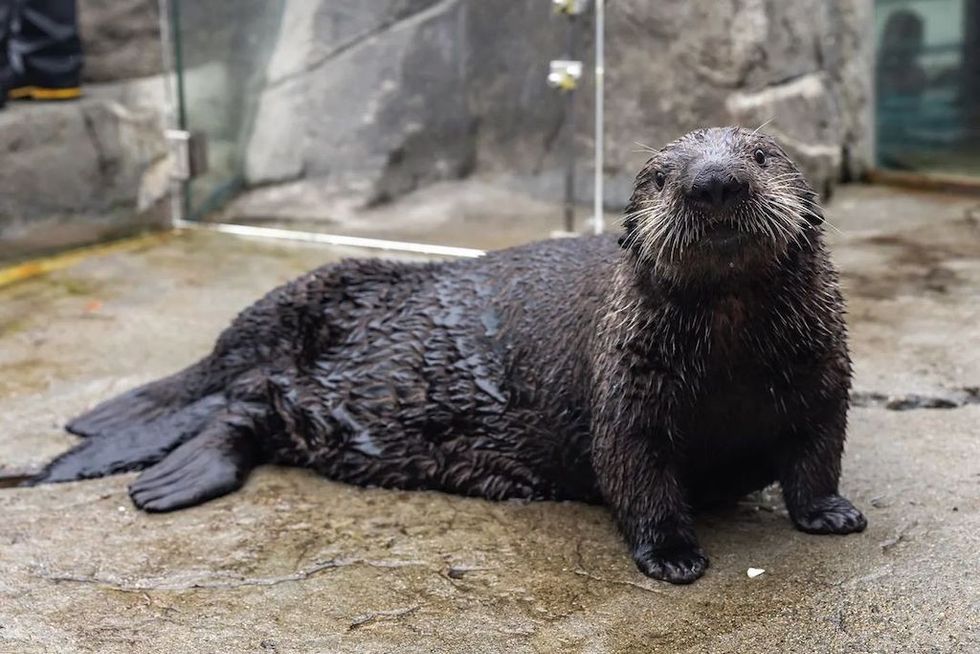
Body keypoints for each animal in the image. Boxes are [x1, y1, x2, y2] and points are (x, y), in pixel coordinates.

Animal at [30, 127, 866, 584]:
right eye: (659, 177)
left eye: (762, 154)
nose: (714, 180)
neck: (730, 359)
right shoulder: (625, 396)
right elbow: (637, 475)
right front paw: (671, 557)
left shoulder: (825, 378)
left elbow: (816, 455)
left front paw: (833, 515)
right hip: (299, 296)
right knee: (222, 393)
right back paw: (138, 463)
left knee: (237, 407)